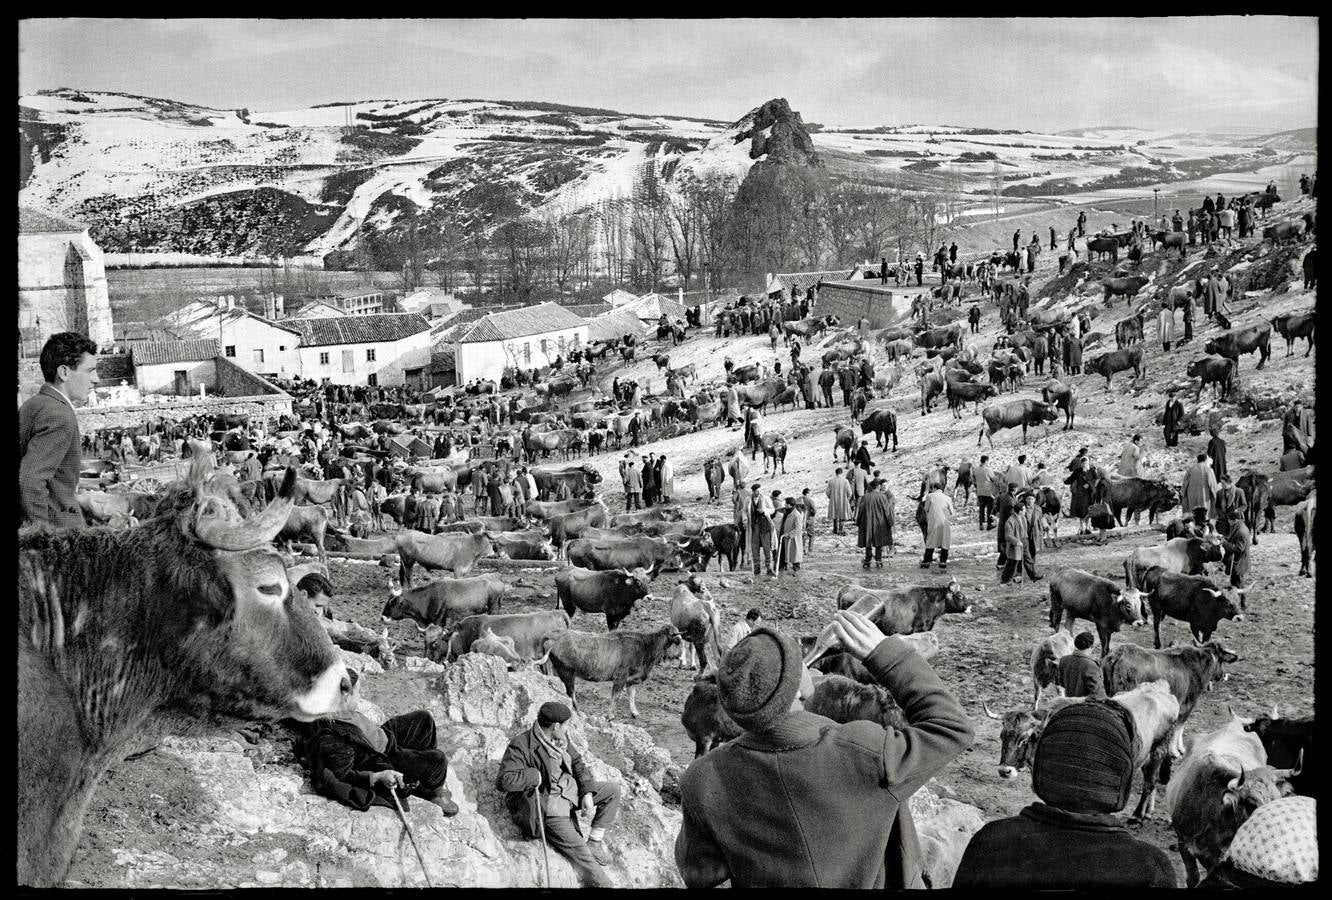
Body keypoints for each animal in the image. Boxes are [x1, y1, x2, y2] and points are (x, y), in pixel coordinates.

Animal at [543, 625, 681, 718]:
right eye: (675, 634)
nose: (680, 640)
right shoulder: (621, 676)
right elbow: (615, 696)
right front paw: (610, 716)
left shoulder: (631, 679)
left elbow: (631, 695)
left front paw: (634, 712)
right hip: (567, 672)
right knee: (571, 693)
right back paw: (578, 712)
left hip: (557, 670)